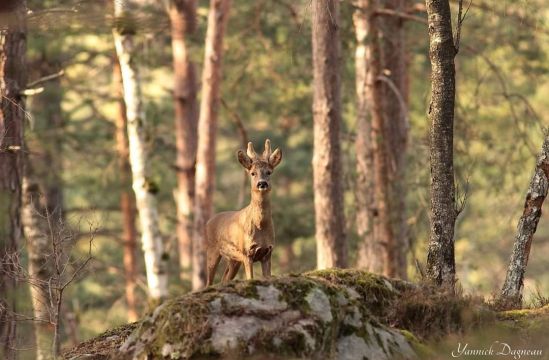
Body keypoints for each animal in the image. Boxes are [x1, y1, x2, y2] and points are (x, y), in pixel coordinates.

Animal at [206, 139, 282, 286]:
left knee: (224, 278)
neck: (260, 226)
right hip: (212, 250)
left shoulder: (268, 252)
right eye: (252, 173)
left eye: (269, 172)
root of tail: (208, 221)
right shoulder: (247, 253)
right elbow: (250, 278)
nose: (262, 184)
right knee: (209, 281)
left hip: (233, 259)